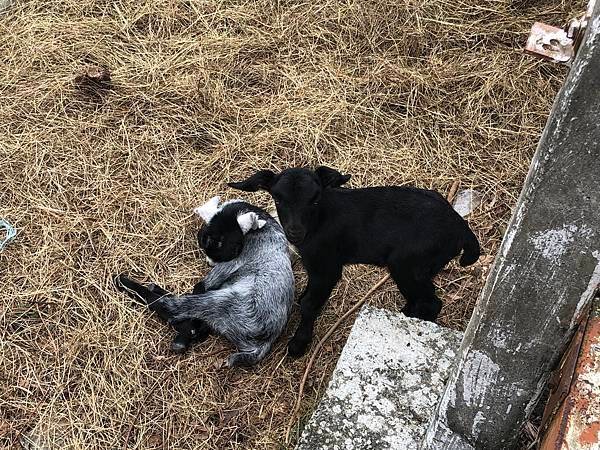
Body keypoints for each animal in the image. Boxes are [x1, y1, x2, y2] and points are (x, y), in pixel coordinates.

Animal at [227, 167, 480, 356]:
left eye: (315, 199)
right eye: (278, 199)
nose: (295, 233)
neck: (318, 222)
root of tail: (461, 228)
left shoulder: (327, 267)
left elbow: (310, 304)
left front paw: (299, 343)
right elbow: (307, 297)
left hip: (409, 265)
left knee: (431, 303)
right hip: (424, 268)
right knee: (420, 300)